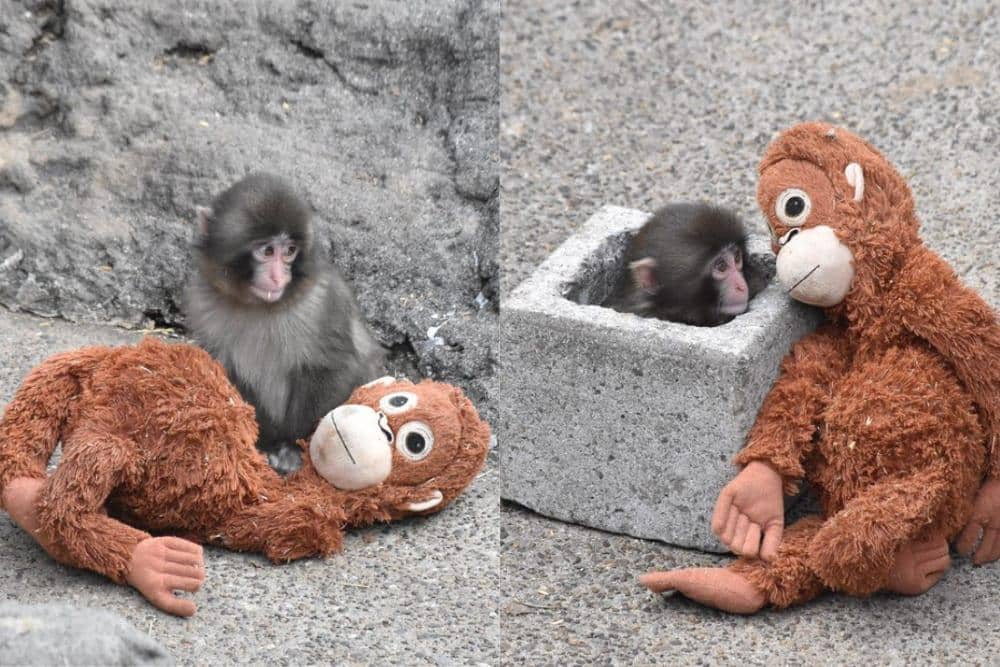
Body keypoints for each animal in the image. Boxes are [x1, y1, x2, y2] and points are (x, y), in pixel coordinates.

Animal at [184, 173, 384, 471]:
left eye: (289, 251)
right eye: (267, 251)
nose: (278, 277)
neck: (258, 306)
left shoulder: (322, 303)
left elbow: (335, 367)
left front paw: (291, 446)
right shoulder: (203, 303)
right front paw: (264, 442)